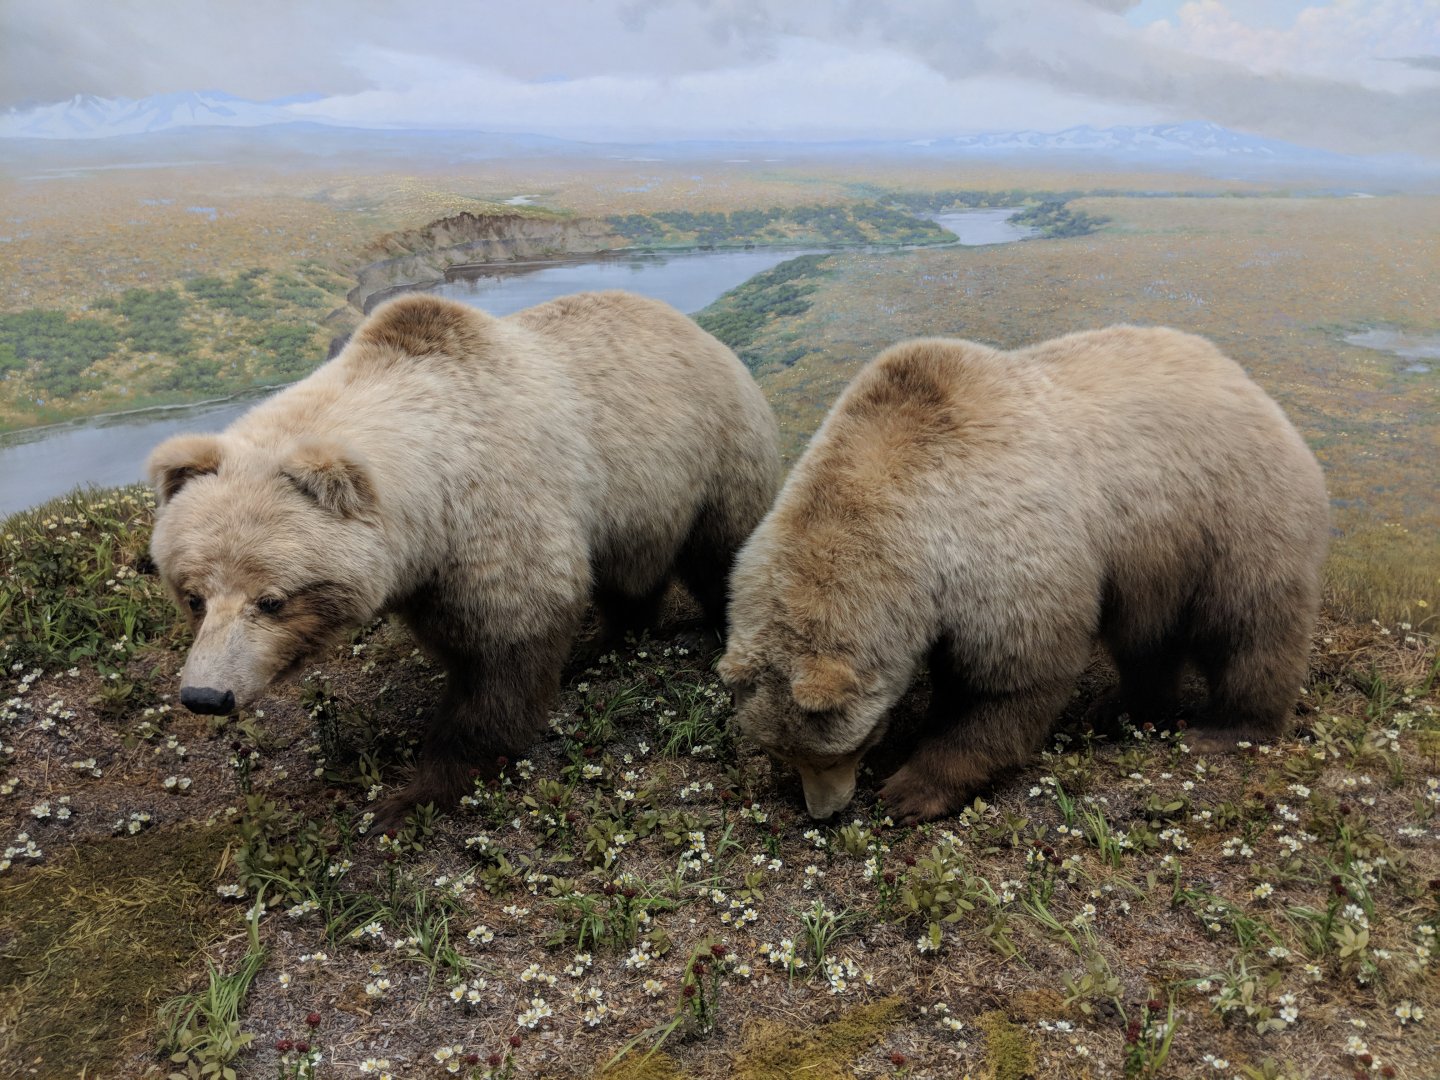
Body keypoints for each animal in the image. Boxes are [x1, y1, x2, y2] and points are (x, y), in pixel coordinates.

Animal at [147, 290, 780, 826]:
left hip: (709, 454)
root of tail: (692, 325)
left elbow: (502, 658)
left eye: (272, 600)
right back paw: (607, 641)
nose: (206, 696)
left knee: (724, 552)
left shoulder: (494, 515)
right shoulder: (431, 568)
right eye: (193, 596)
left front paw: (413, 796)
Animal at [718, 326, 1329, 823]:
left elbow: (1012, 680)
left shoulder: (1002, 546)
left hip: (1231, 515)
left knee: (1249, 628)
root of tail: (1246, 380)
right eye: (780, 751)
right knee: (1148, 640)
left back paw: (1227, 728)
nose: (823, 810)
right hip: (1157, 559)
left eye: (847, 748)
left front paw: (911, 789)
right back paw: (1123, 708)